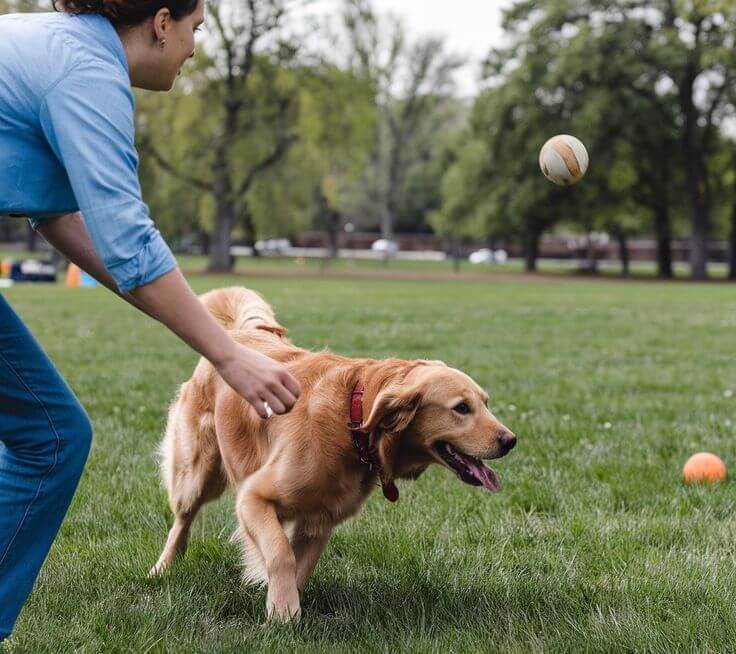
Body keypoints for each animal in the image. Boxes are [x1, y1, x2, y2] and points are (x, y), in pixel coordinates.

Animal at [151, 288, 516, 620]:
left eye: (485, 403)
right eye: (462, 408)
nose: (510, 440)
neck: (352, 420)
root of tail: (242, 332)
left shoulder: (319, 521)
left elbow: (301, 567)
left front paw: (288, 606)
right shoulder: (253, 498)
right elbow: (281, 554)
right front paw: (281, 613)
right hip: (198, 473)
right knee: (182, 520)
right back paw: (163, 568)